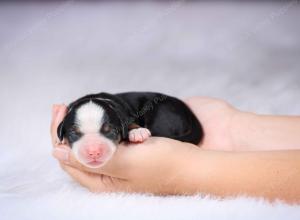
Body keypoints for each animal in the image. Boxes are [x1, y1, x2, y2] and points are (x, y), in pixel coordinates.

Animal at [58, 92, 204, 168]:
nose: (94, 152)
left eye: (110, 131)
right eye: (73, 133)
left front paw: (137, 131)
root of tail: (190, 113)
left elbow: (130, 122)